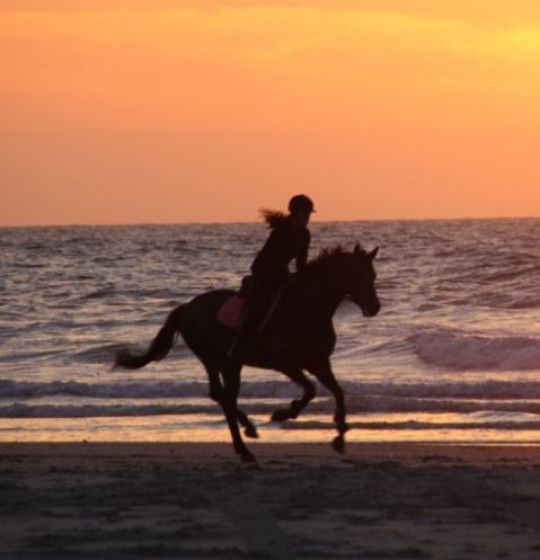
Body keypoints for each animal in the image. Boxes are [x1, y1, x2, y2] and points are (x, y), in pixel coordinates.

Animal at [116, 243, 382, 462]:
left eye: (373, 275)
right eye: (360, 275)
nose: (374, 308)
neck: (306, 310)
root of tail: (188, 307)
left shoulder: (319, 363)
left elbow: (339, 393)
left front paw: (339, 438)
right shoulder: (287, 365)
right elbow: (311, 390)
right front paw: (283, 414)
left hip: (228, 362)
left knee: (223, 396)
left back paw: (247, 435)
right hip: (215, 358)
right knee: (224, 396)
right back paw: (245, 445)